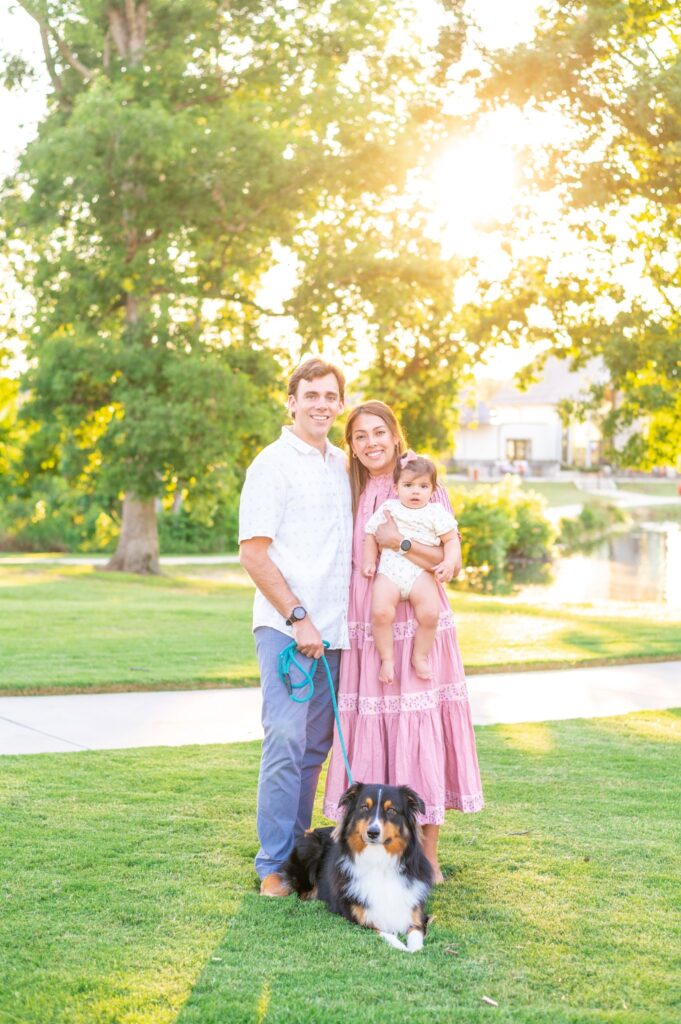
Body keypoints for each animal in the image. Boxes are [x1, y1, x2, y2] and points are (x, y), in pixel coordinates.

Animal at [280, 782, 430, 950]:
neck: (378, 861)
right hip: (308, 848)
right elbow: (386, 934)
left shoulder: (417, 914)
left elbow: (416, 941)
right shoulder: (358, 918)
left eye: (391, 810)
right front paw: (400, 946)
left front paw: (412, 948)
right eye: (364, 807)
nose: (372, 832)